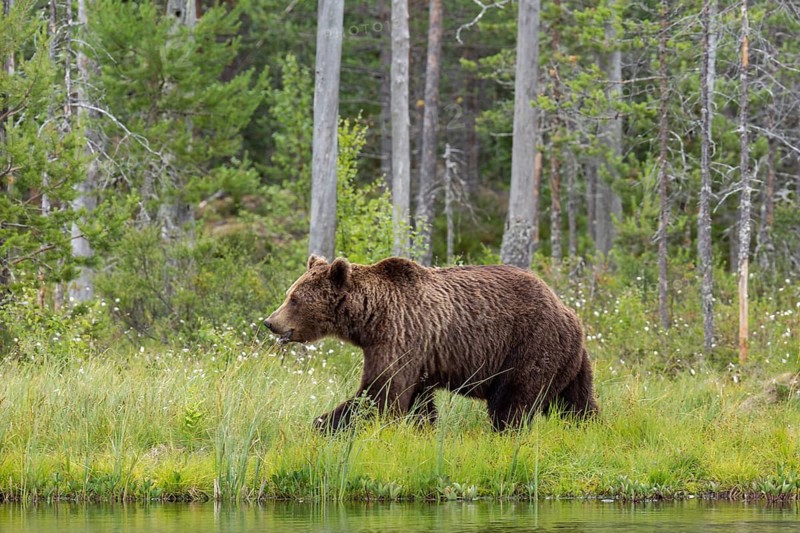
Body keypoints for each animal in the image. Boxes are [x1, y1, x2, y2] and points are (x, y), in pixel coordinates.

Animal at [265, 255, 598, 432]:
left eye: (294, 299)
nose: (270, 322)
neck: (370, 318)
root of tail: (567, 310)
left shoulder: (400, 335)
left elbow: (380, 393)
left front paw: (323, 422)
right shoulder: (418, 356)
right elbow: (417, 401)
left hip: (529, 345)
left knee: (513, 401)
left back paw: (505, 432)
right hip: (570, 360)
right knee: (576, 400)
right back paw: (586, 426)